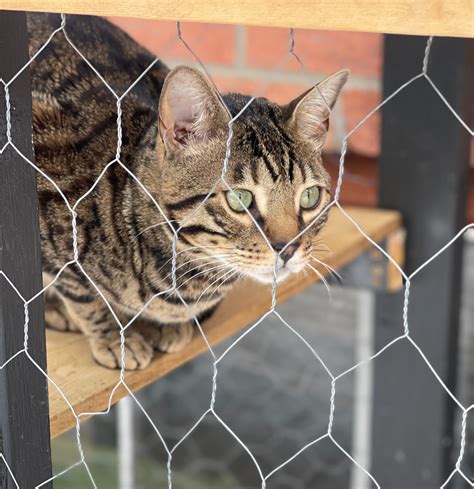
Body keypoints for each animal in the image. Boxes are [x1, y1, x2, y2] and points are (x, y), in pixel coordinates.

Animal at [28, 13, 348, 368]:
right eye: (240, 199)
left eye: (310, 197)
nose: (288, 248)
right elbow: (83, 295)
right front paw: (114, 339)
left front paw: (168, 328)